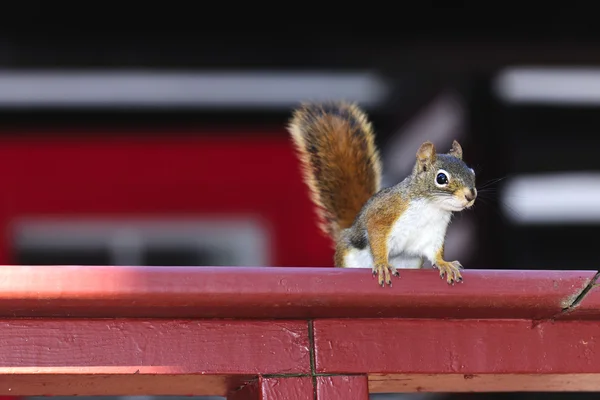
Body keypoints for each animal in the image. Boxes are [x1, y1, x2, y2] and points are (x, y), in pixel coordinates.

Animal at [288, 101, 478, 286]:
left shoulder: (434, 233)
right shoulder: (385, 214)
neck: (431, 207)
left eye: (472, 172)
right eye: (441, 178)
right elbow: (377, 239)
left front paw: (444, 264)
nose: (470, 196)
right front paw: (381, 264)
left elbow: (435, 252)